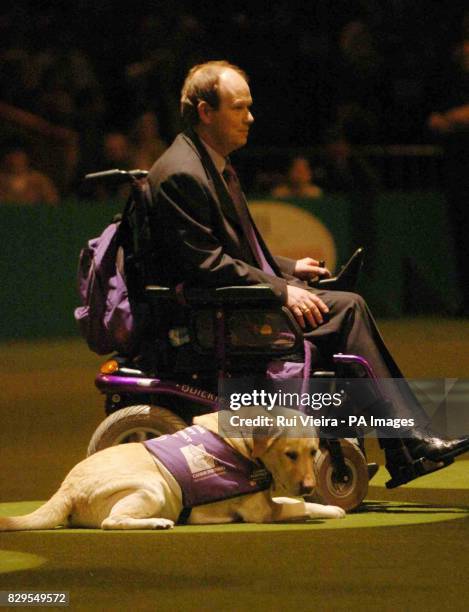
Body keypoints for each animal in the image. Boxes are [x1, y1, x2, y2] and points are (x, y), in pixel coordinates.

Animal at [0, 412, 344, 532]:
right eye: (290, 454)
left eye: (313, 453)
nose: (309, 485)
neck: (244, 446)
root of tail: (66, 489)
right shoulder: (263, 512)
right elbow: (300, 507)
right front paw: (330, 508)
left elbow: (294, 502)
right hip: (151, 487)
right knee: (112, 522)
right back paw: (157, 523)